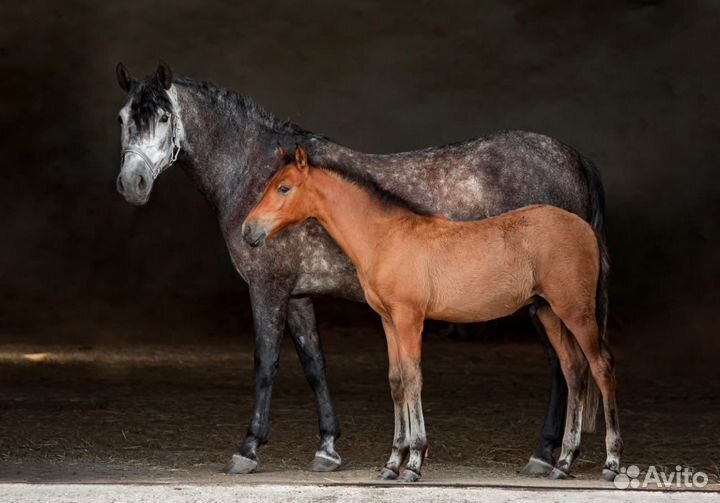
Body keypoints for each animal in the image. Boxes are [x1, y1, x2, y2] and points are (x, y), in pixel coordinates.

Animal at [243, 146, 621, 482]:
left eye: (283, 187)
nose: (249, 230)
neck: (386, 237)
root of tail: (585, 228)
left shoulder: (409, 318)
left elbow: (413, 379)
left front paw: (413, 462)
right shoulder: (388, 320)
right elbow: (396, 381)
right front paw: (391, 463)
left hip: (576, 310)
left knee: (600, 366)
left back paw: (612, 462)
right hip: (548, 312)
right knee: (574, 370)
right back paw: (564, 462)